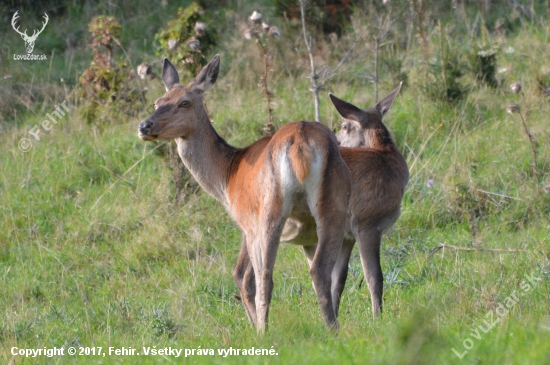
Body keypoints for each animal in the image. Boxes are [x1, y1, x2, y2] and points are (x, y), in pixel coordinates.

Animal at [139, 54, 354, 332]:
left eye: (184, 102)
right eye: (157, 101)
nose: (145, 126)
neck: (227, 176)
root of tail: (300, 143)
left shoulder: (246, 224)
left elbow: (241, 275)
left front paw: (255, 326)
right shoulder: (305, 236)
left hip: (270, 211)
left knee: (265, 278)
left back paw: (264, 331)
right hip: (334, 205)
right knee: (322, 269)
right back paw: (333, 329)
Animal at [234, 84, 410, 322]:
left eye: (344, 126)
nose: (337, 140)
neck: (389, 160)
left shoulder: (348, 236)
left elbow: (339, 280)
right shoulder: (368, 222)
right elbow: (374, 276)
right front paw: (377, 319)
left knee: (244, 271)